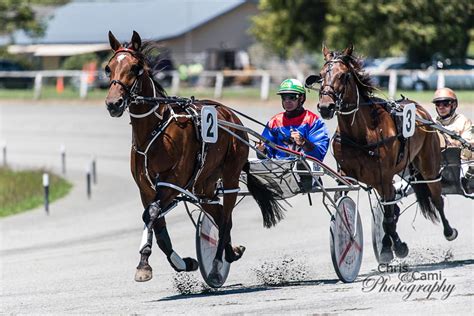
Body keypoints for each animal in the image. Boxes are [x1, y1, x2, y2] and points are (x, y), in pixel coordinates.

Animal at [105, 30, 284, 286]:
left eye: (135, 67)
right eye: (108, 68)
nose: (114, 103)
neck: (154, 132)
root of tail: (230, 114)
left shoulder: (171, 183)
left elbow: (151, 214)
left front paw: (144, 263)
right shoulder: (145, 188)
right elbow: (156, 223)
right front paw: (176, 263)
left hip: (230, 174)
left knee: (226, 217)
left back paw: (218, 263)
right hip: (204, 185)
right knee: (217, 213)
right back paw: (231, 251)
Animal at [312, 43, 458, 262]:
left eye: (344, 75)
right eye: (321, 75)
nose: (325, 107)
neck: (361, 134)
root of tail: (419, 109)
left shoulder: (383, 177)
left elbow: (388, 217)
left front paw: (390, 247)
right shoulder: (347, 176)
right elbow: (349, 202)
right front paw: (392, 244)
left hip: (428, 165)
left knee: (436, 197)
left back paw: (449, 231)